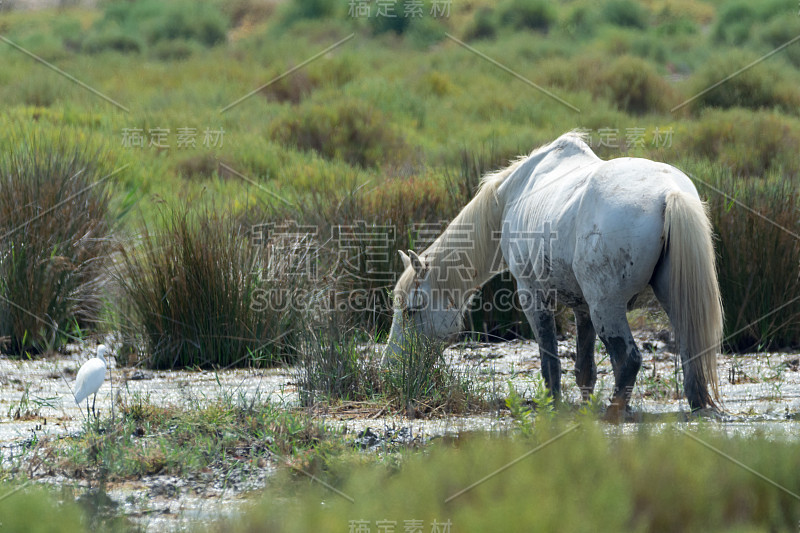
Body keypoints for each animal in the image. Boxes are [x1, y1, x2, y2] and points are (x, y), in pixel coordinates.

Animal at [382, 131, 724, 414]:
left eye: (411, 311)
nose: (391, 366)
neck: (511, 195)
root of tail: (668, 193)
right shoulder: (583, 308)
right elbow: (584, 369)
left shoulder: (532, 295)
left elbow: (550, 361)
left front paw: (553, 404)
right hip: (669, 299)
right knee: (691, 350)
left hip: (607, 307)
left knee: (628, 359)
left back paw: (614, 412)